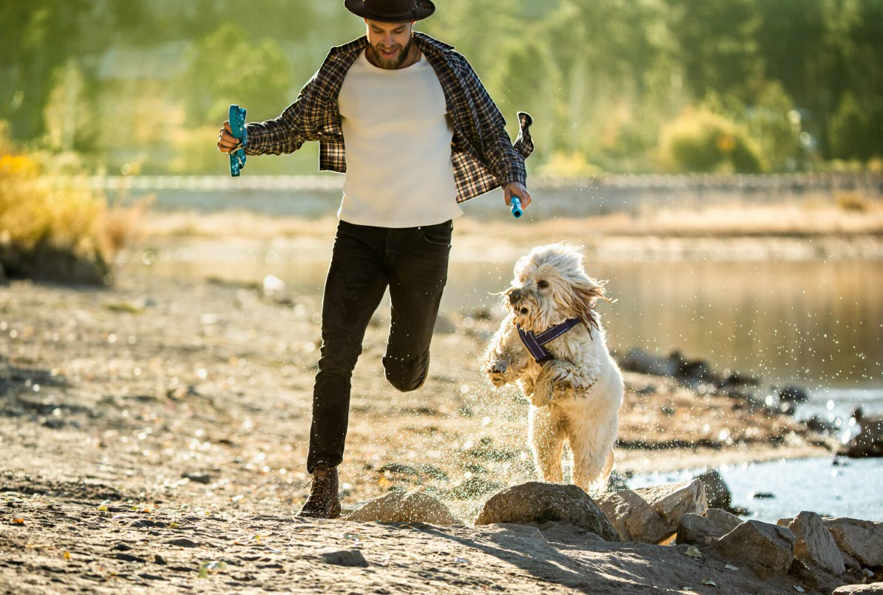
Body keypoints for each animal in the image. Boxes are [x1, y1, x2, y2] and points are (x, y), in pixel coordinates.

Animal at [480, 243, 624, 494]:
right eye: (523, 278)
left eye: (543, 283)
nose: (514, 294)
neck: (546, 325)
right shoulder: (518, 337)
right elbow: (507, 349)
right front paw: (498, 368)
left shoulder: (584, 371)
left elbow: (555, 366)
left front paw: (539, 393)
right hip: (544, 433)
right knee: (551, 465)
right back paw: (552, 485)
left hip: (590, 440)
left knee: (582, 472)